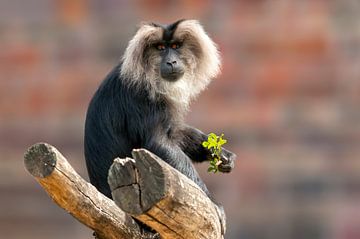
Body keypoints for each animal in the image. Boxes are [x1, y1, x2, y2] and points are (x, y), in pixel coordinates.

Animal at [84, 19, 236, 205]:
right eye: (161, 48)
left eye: (176, 46)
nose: (171, 62)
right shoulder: (141, 96)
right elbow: (158, 144)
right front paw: (211, 200)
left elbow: (174, 133)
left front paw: (219, 152)